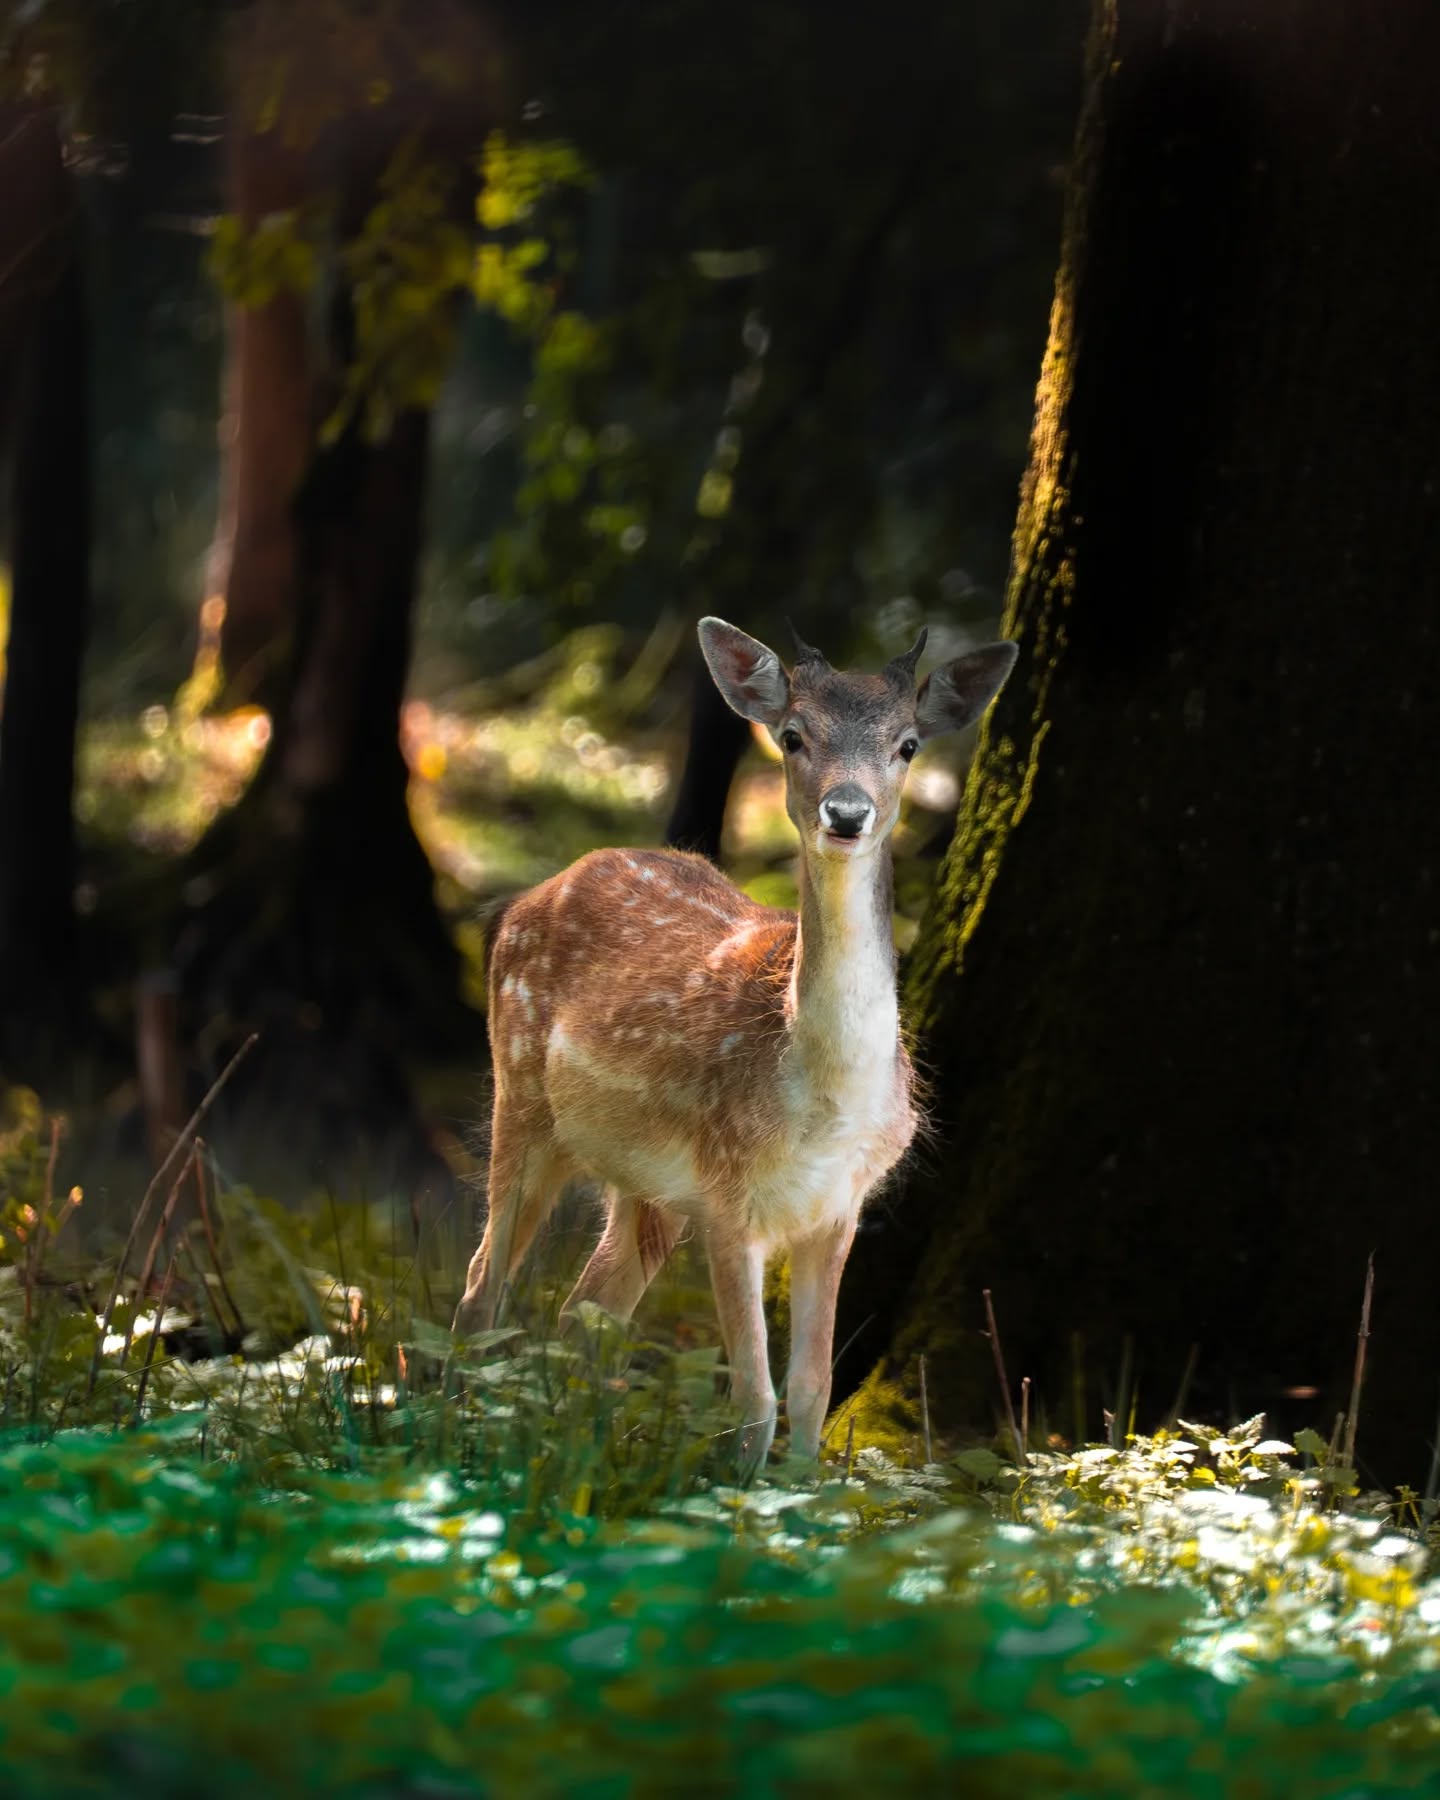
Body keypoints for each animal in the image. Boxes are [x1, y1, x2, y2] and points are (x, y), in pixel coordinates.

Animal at [453, 617, 1018, 1472]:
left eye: (908, 744)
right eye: (793, 736)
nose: (846, 812)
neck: (824, 1106)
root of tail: (526, 896)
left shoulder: (839, 1209)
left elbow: (814, 1387)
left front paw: (800, 1494)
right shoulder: (727, 1195)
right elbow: (755, 1398)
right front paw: (743, 1498)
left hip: (646, 1187)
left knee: (585, 1311)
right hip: (520, 1095)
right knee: (482, 1286)